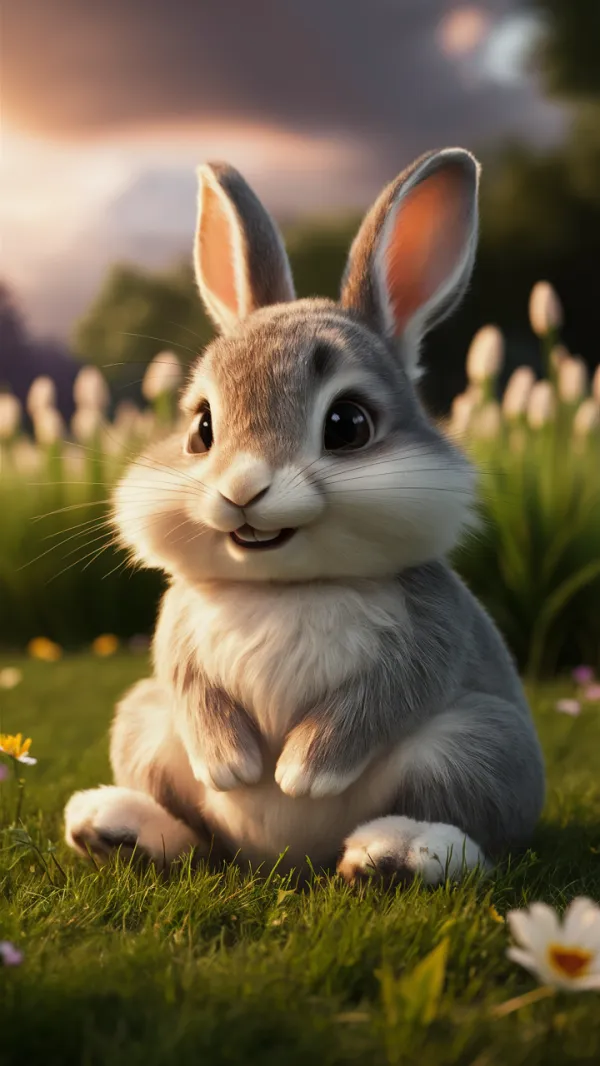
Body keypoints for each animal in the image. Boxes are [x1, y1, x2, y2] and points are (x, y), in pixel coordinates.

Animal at [64, 148, 545, 885]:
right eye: (201, 428)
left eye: (349, 424)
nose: (241, 487)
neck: (285, 588)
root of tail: (285, 860)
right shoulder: (178, 638)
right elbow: (192, 686)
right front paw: (232, 766)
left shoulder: (427, 636)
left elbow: (382, 696)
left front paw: (300, 773)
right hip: (140, 721)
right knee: (195, 835)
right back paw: (115, 827)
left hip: (480, 747)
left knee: (471, 834)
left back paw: (395, 854)